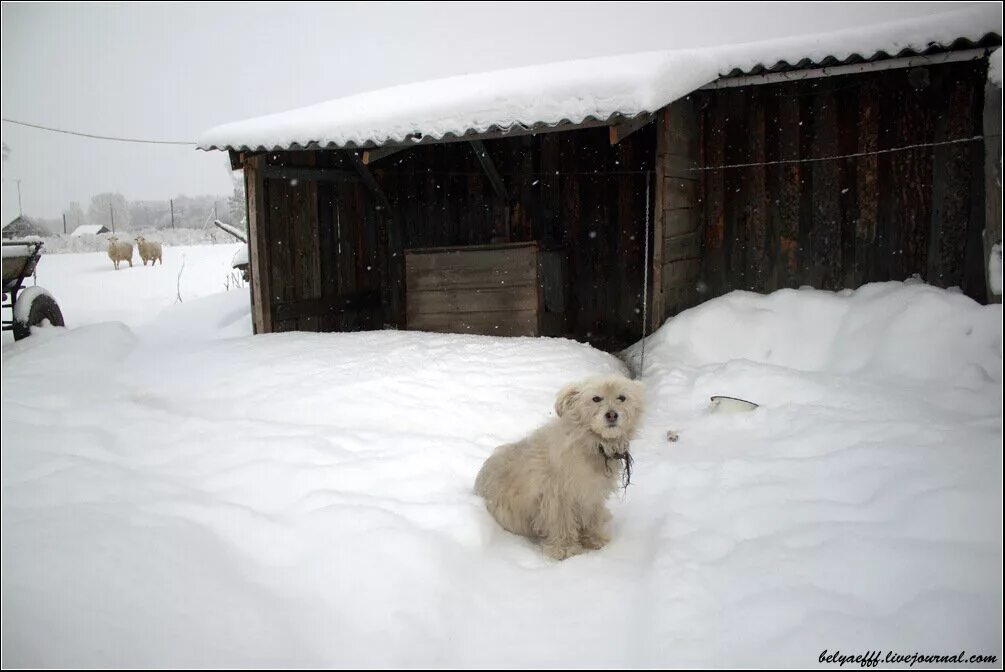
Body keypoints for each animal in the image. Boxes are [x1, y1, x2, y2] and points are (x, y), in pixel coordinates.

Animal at [476, 375, 647, 558]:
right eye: (596, 398)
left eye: (622, 398)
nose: (612, 415)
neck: (590, 443)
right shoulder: (558, 496)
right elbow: (562, 523)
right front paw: (565, 549)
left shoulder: (591, 495)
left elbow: (592, 518)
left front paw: (594, 539)